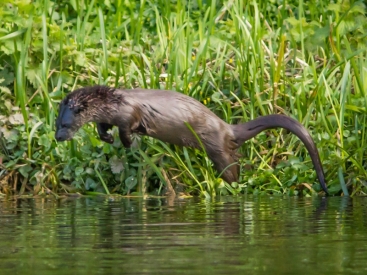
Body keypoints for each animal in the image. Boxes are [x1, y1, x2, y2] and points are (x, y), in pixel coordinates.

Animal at [56, 85, 330, 194]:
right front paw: (107, 137)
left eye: (65, 125)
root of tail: (228, 129)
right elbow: (102, 126)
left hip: (218, 150)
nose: (58, 138)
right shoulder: (110, 116)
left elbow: (128, 128)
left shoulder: (128, 114)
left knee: (232, 169)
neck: (114, 102)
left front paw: (127, 142)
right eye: (55, 123)